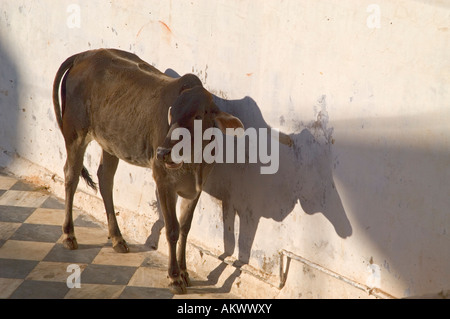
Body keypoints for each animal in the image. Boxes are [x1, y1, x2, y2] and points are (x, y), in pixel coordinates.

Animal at [51, 48, 246, 296]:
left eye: (198, 116)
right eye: (171, 114)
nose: (162, 152)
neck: (194, 161)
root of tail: (85, 54)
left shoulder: (196, 189)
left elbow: (185, 228)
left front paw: (185, 272)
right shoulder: (163, 181)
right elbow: (172, 229)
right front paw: (174, 277)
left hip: (111, 142)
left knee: (105, 178)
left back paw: (117, 238)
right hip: (75, 133)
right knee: (71, 176)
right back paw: (69, 234)